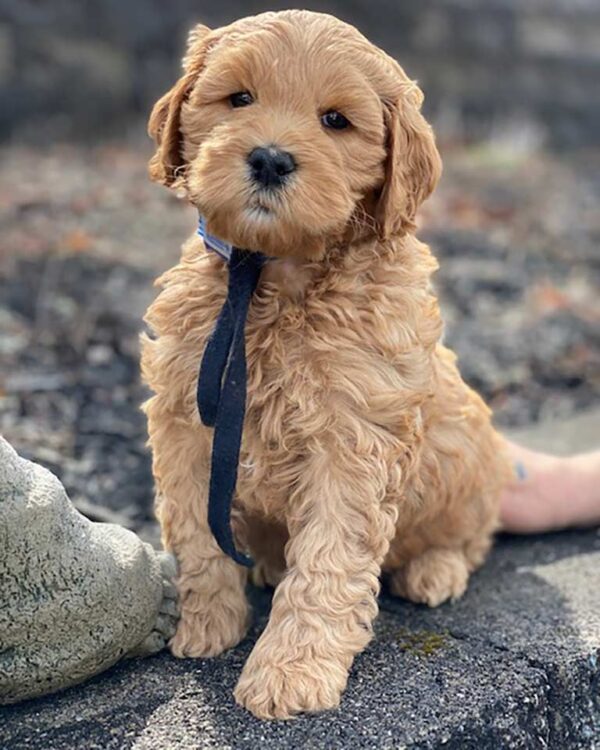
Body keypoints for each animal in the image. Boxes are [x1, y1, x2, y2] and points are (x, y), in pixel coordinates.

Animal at [141, 7, 510, 724]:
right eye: (240, 98)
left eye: (336, 120)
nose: (270, 157)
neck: (273, 275)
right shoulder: (186, 422)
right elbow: (197, 537)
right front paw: (206, 625)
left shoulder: (353, 442)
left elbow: (328, 564)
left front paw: (290, 671)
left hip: (467, 457)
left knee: (472, 535)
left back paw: (435, 570)